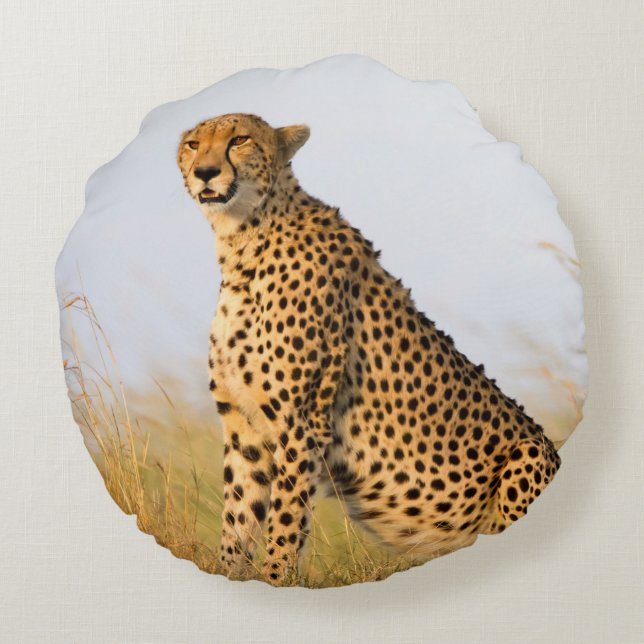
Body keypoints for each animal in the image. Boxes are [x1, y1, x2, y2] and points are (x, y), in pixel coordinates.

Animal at [176, 112, 562, 586]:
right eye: (193, 144)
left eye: (240, 140)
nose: (205, 172)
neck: (243, 241)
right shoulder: (244, 426)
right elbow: (238, 518)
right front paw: (231, 573)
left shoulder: (301, 423)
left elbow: (284, 523)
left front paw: (276, 580)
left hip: (530, 454)